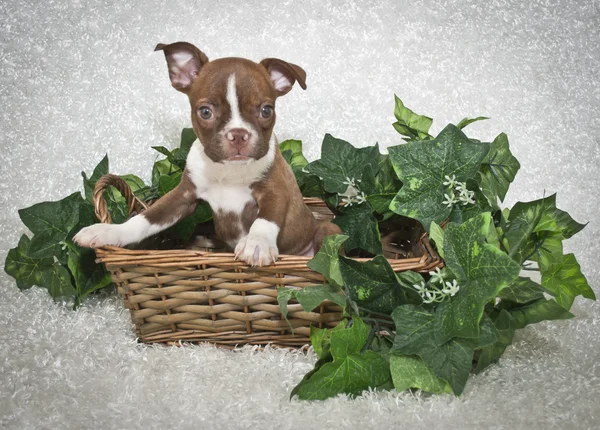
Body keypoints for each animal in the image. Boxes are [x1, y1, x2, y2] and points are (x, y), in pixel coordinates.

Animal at [72, 42, 340, 268]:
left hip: (328, 231)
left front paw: (257, 243)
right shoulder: (182, 197)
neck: (228, 171)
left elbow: (266, 219)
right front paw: (109, 231)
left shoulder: (276, 189)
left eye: (266, 110)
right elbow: (145, 218)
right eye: (205, 112)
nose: (238, 134)